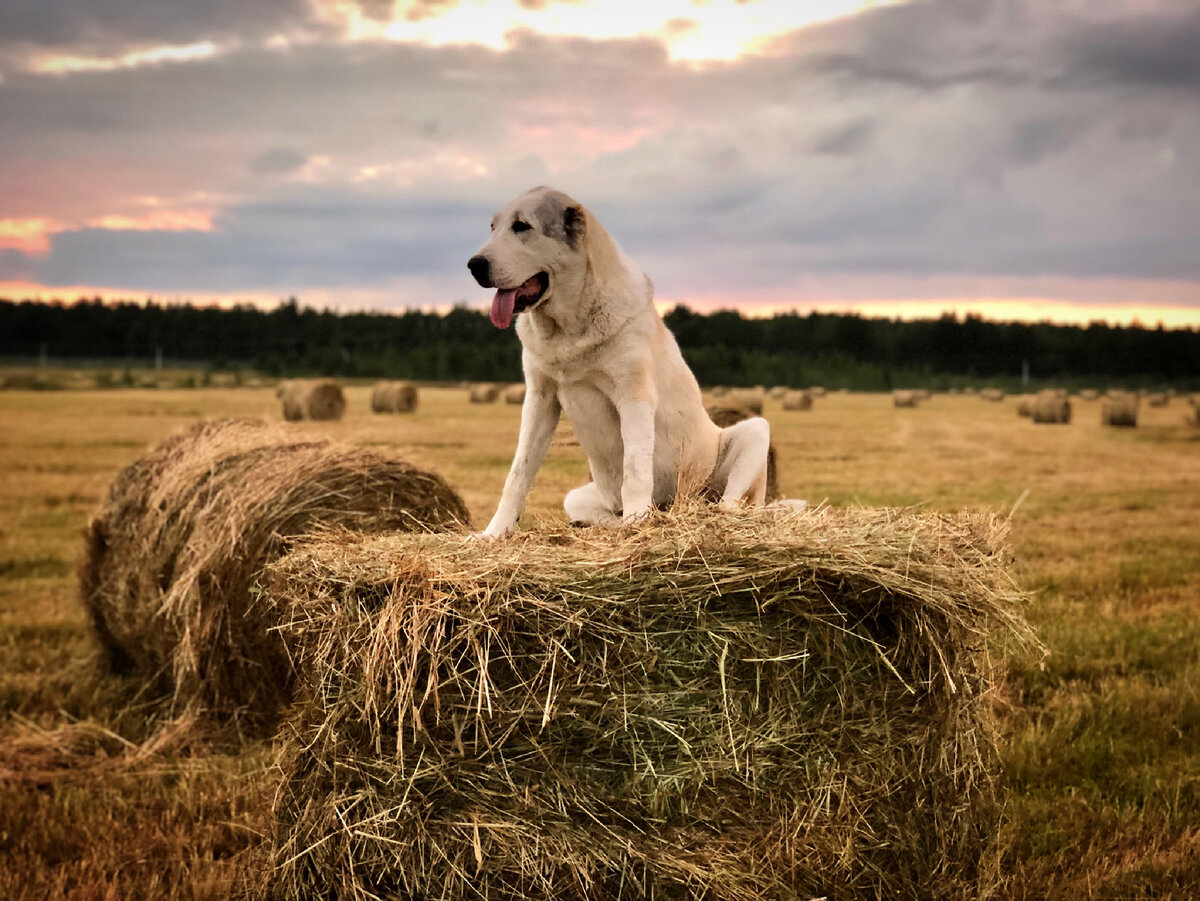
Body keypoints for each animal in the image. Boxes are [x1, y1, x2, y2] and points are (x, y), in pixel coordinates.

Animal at [463, 183, 772, 535]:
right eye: (493, 228)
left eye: (522, 226)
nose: (474, 264)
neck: (568, 327)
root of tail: (681, 504)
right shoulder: (540, 400)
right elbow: (518, 473)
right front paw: (493, 533)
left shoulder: (633, 397)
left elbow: (635, 471)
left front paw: (638, 523)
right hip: (578, 497)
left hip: (754, 432)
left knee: (731, 505)